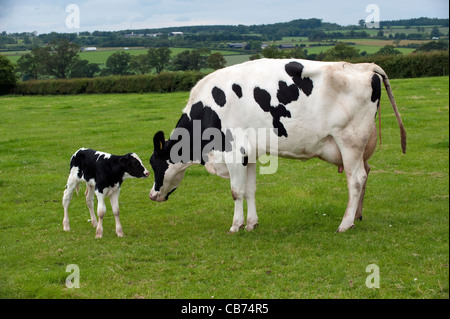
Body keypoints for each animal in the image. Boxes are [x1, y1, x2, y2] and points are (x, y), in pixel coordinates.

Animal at [147, 58, 404, 234]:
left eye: (155, 163)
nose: (152, 195)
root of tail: (365, 66)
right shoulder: (248, 155)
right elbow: (250, 190)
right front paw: (251, 223)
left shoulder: (233, 153)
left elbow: (236, 191)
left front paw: (235, 226)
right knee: (365, 174)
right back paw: (356, 217)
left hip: (350, 142)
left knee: (357, 179)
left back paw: (345, 223)